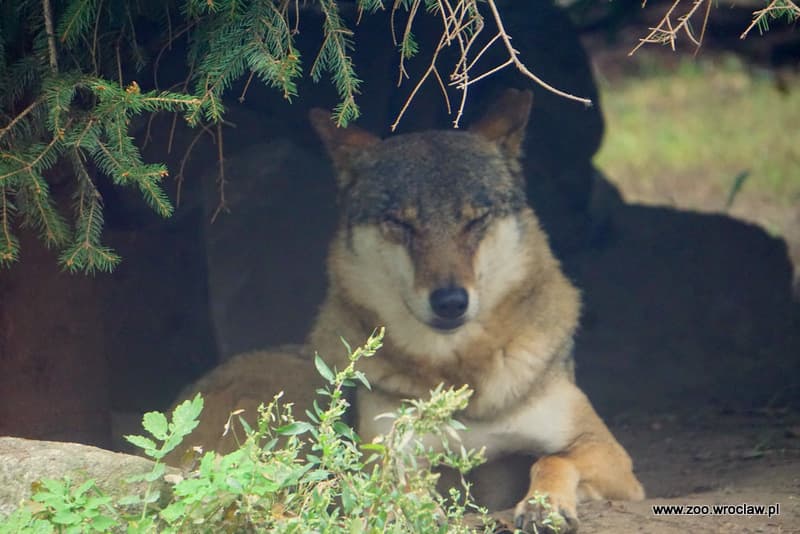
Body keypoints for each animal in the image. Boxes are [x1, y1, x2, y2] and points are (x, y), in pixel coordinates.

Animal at [306, 90, 644, 532]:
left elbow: (550, 460)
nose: (451, 301)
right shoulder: (385, 454)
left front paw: (544, 505)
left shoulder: (608, 454)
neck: (461, 376)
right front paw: (417, 512)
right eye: (401, 223)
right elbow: (400, 488)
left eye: (475, 220)